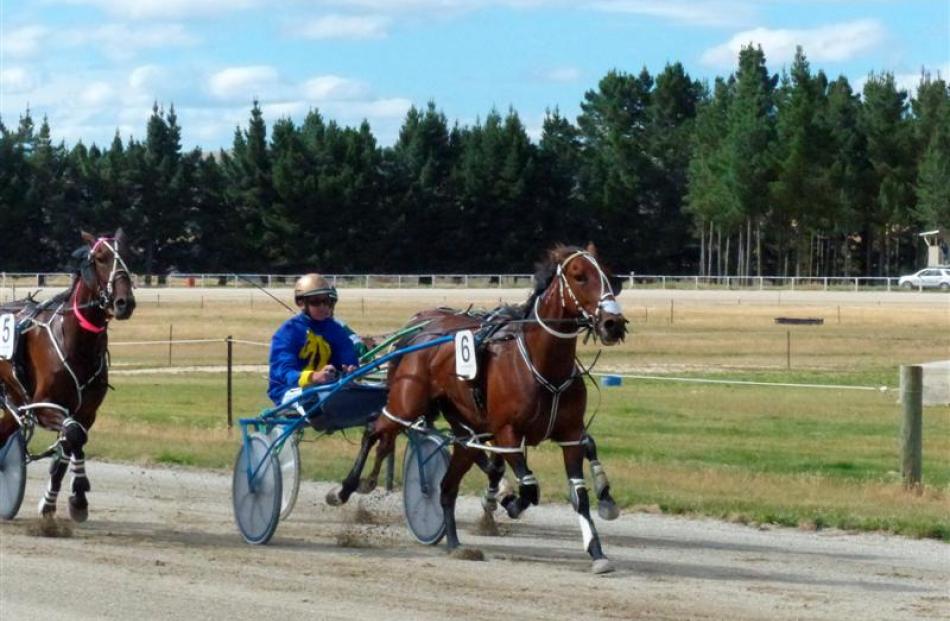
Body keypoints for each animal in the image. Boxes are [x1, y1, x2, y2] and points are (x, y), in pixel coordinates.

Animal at [0, 230, 136, 520]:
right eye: (100, 257)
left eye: (128, 256)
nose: (124, 302)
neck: (75, 340)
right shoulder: (43, 406)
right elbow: (72, 436)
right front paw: (76, 493)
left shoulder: (86, 412)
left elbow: (73, 441)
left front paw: (66, 500)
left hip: (15, 398)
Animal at [330, 242, 628, 572]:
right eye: (579, 276)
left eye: (610, 275)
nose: (613, 324)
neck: (542, 365)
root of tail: (421, 330)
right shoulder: (507, 433)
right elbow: (528, 486)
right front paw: (509, 502)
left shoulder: (570, 434)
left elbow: (579, 494)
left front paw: (597, 552)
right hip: (405, 404)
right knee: (374, 430)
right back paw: (346, 489)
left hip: (465, 434)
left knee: (446, 487)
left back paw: (454, 543)